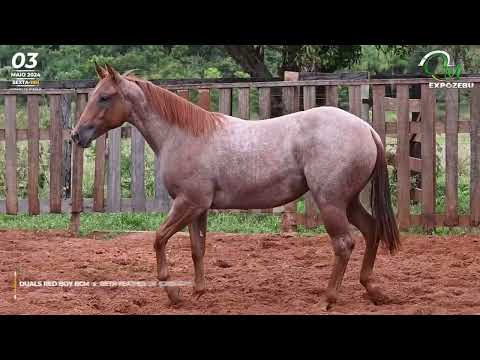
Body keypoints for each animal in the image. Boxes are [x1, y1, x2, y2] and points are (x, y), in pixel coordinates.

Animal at [71, 63, 400, 310]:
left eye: (105, 97)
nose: (77, 135)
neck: (183, 135)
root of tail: (367, 129)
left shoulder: (187, 203)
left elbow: (159, 239)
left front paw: (174, 294)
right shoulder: (198, 208)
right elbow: (197, 248)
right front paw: (198, 292)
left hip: (331, 202)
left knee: (344, 244)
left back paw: (328, 299)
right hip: (348, 201)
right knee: (371, 230)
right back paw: (373, 290)